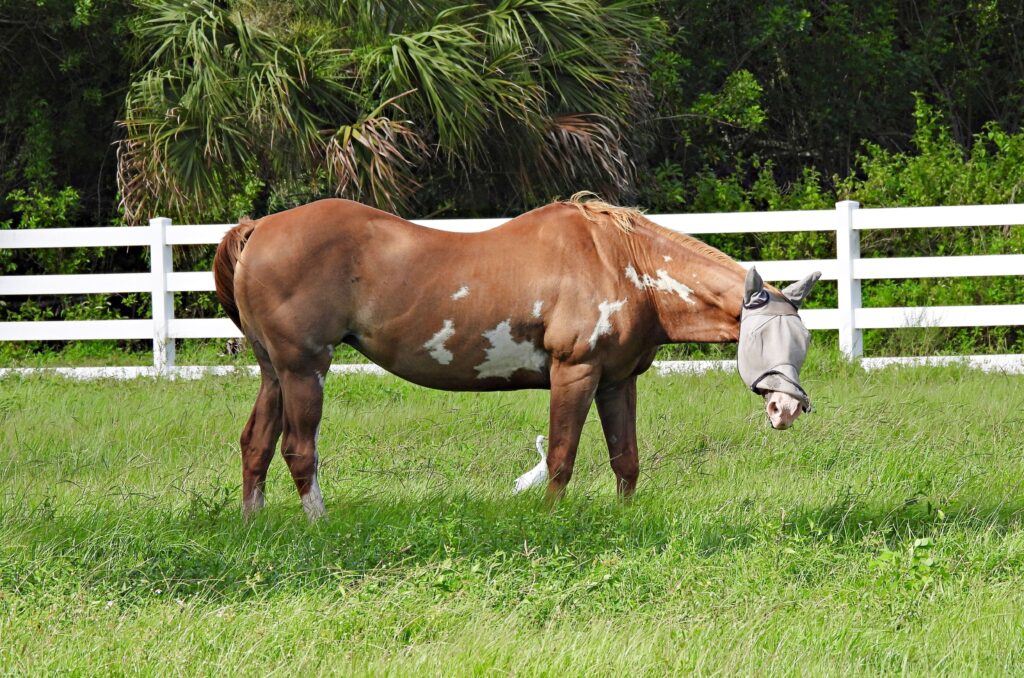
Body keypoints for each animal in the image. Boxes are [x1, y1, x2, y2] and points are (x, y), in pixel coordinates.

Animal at [211, 192, 819, 520]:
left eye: (803, 341)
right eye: (761, 337)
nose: (786, 409)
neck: (621, 263)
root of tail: (257, 228)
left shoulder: (618, 381)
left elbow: (626, 460)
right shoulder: (575, 374)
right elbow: (562, 458)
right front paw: (550, 521)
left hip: (274, 372)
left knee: (255, 445)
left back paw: (253, 524)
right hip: (304, 369)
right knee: (299, 450)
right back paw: (319, 523)